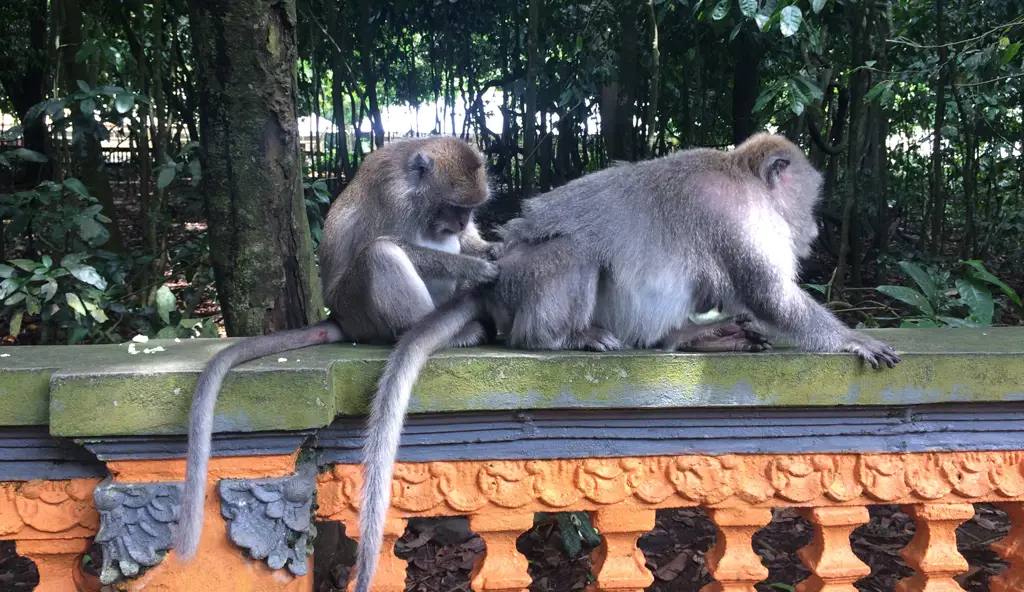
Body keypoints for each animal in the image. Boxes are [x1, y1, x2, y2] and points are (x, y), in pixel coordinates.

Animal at [177, 136, 503, 561]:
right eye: (453, 206)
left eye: (470, 210)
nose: (462, 222)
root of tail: (342, 320)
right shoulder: (394, 197)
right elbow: (392, 243)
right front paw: (473, 266)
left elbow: (459, 244)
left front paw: (488, 247)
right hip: (360, 309)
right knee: (381, 254)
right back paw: (440, 331)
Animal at [350, 132, 897, 589]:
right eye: (810, 199)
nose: (816, 225)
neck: (742, 177)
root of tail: (497, 273)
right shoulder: (739, 219)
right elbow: (769, 295)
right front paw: (852, 340)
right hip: (529, 283)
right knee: (575, 250)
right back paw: (564, 337)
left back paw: (695, 338)